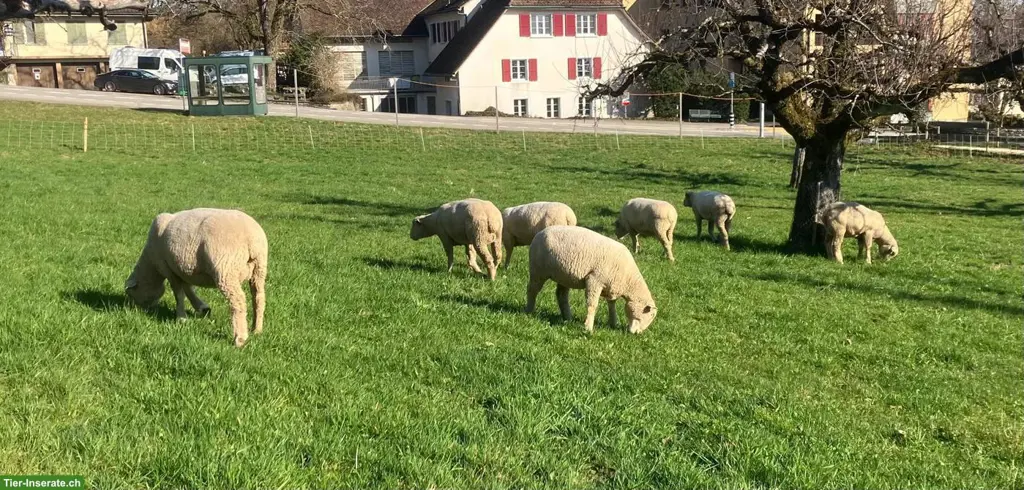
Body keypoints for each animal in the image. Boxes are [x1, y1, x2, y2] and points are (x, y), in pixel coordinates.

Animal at [125, 208, 268, 348]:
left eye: (132, 294)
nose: (136, 310)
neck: (151, 265)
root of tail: (252, 240)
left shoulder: (169, 269)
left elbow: (179, 294)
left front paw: (181, 318)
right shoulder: (183, 270)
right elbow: (188, 288)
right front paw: (202, 308)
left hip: (226, 269)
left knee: (238, 300)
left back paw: (240, 338)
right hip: (259, 269)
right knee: (259, 297)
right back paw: (257, 329)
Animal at [526, 225, 657, 334]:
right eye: (649, 315)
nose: (636, 333)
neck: (628, 280)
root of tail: (540, 232)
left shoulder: (611, 287)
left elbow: (612, 306)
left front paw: (613, 323)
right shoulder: (594, 280)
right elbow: (592, 305)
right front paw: (588, 328)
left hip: (564, 275)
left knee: (561, 295)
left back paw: (568, 318)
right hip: (538, 270)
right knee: (532, 290)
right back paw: (529, 311)